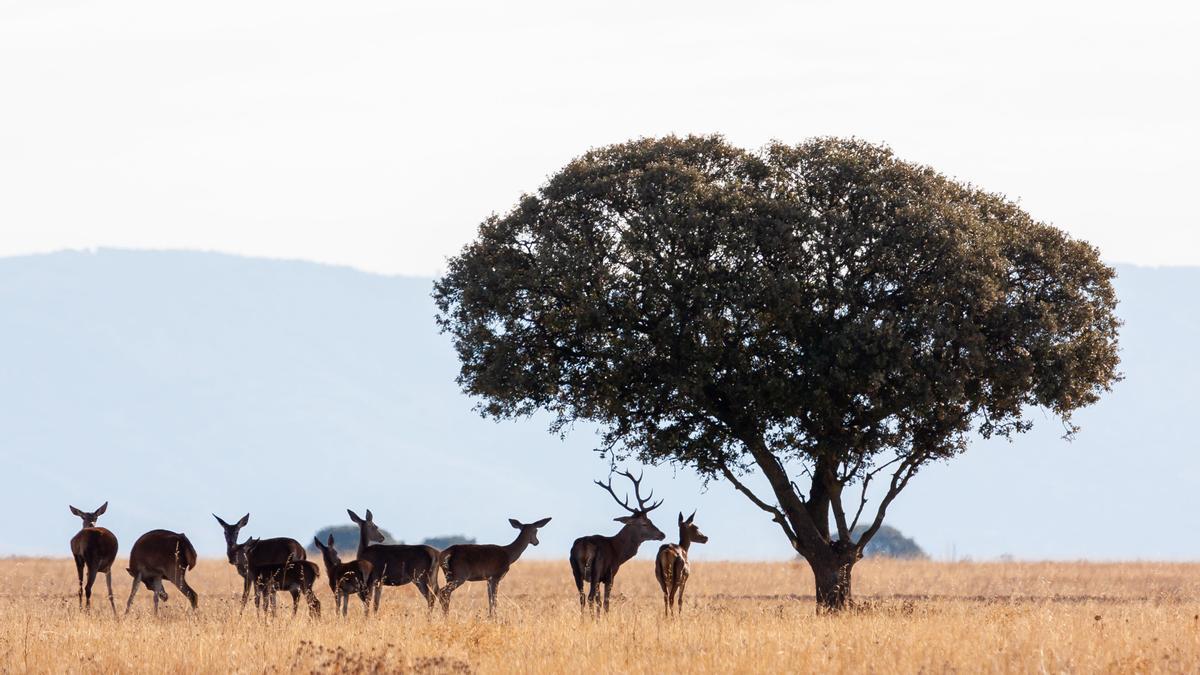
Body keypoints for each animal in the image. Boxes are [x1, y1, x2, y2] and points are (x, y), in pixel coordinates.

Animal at [568, 468, 667, 614]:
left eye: (650, 520)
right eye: (645, 523)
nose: (662, 534)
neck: (618, 552)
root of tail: (584, 546)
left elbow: (598, 601)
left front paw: (598, 618)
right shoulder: (609, 574)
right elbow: (605, 602)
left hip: (575, 570)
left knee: (582, 597)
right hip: (595, 569)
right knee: (590, 597)